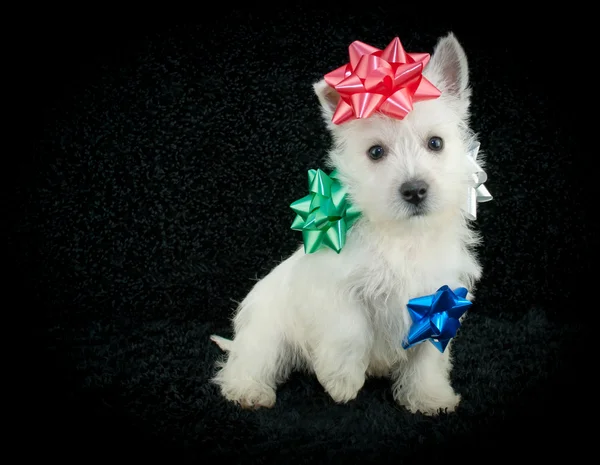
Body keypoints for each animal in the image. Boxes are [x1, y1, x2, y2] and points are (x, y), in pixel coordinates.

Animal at [211, 34, 488, 416]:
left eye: (436, 143)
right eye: (375, 152)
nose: (414, 190)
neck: (402, 235)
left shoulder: (439, 302)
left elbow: (427, 358)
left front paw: (429, 397)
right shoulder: (339, 291)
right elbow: (350, 333)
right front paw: (342, 383)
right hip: (267, 334)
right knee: (249, 362)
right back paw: (249, 391)